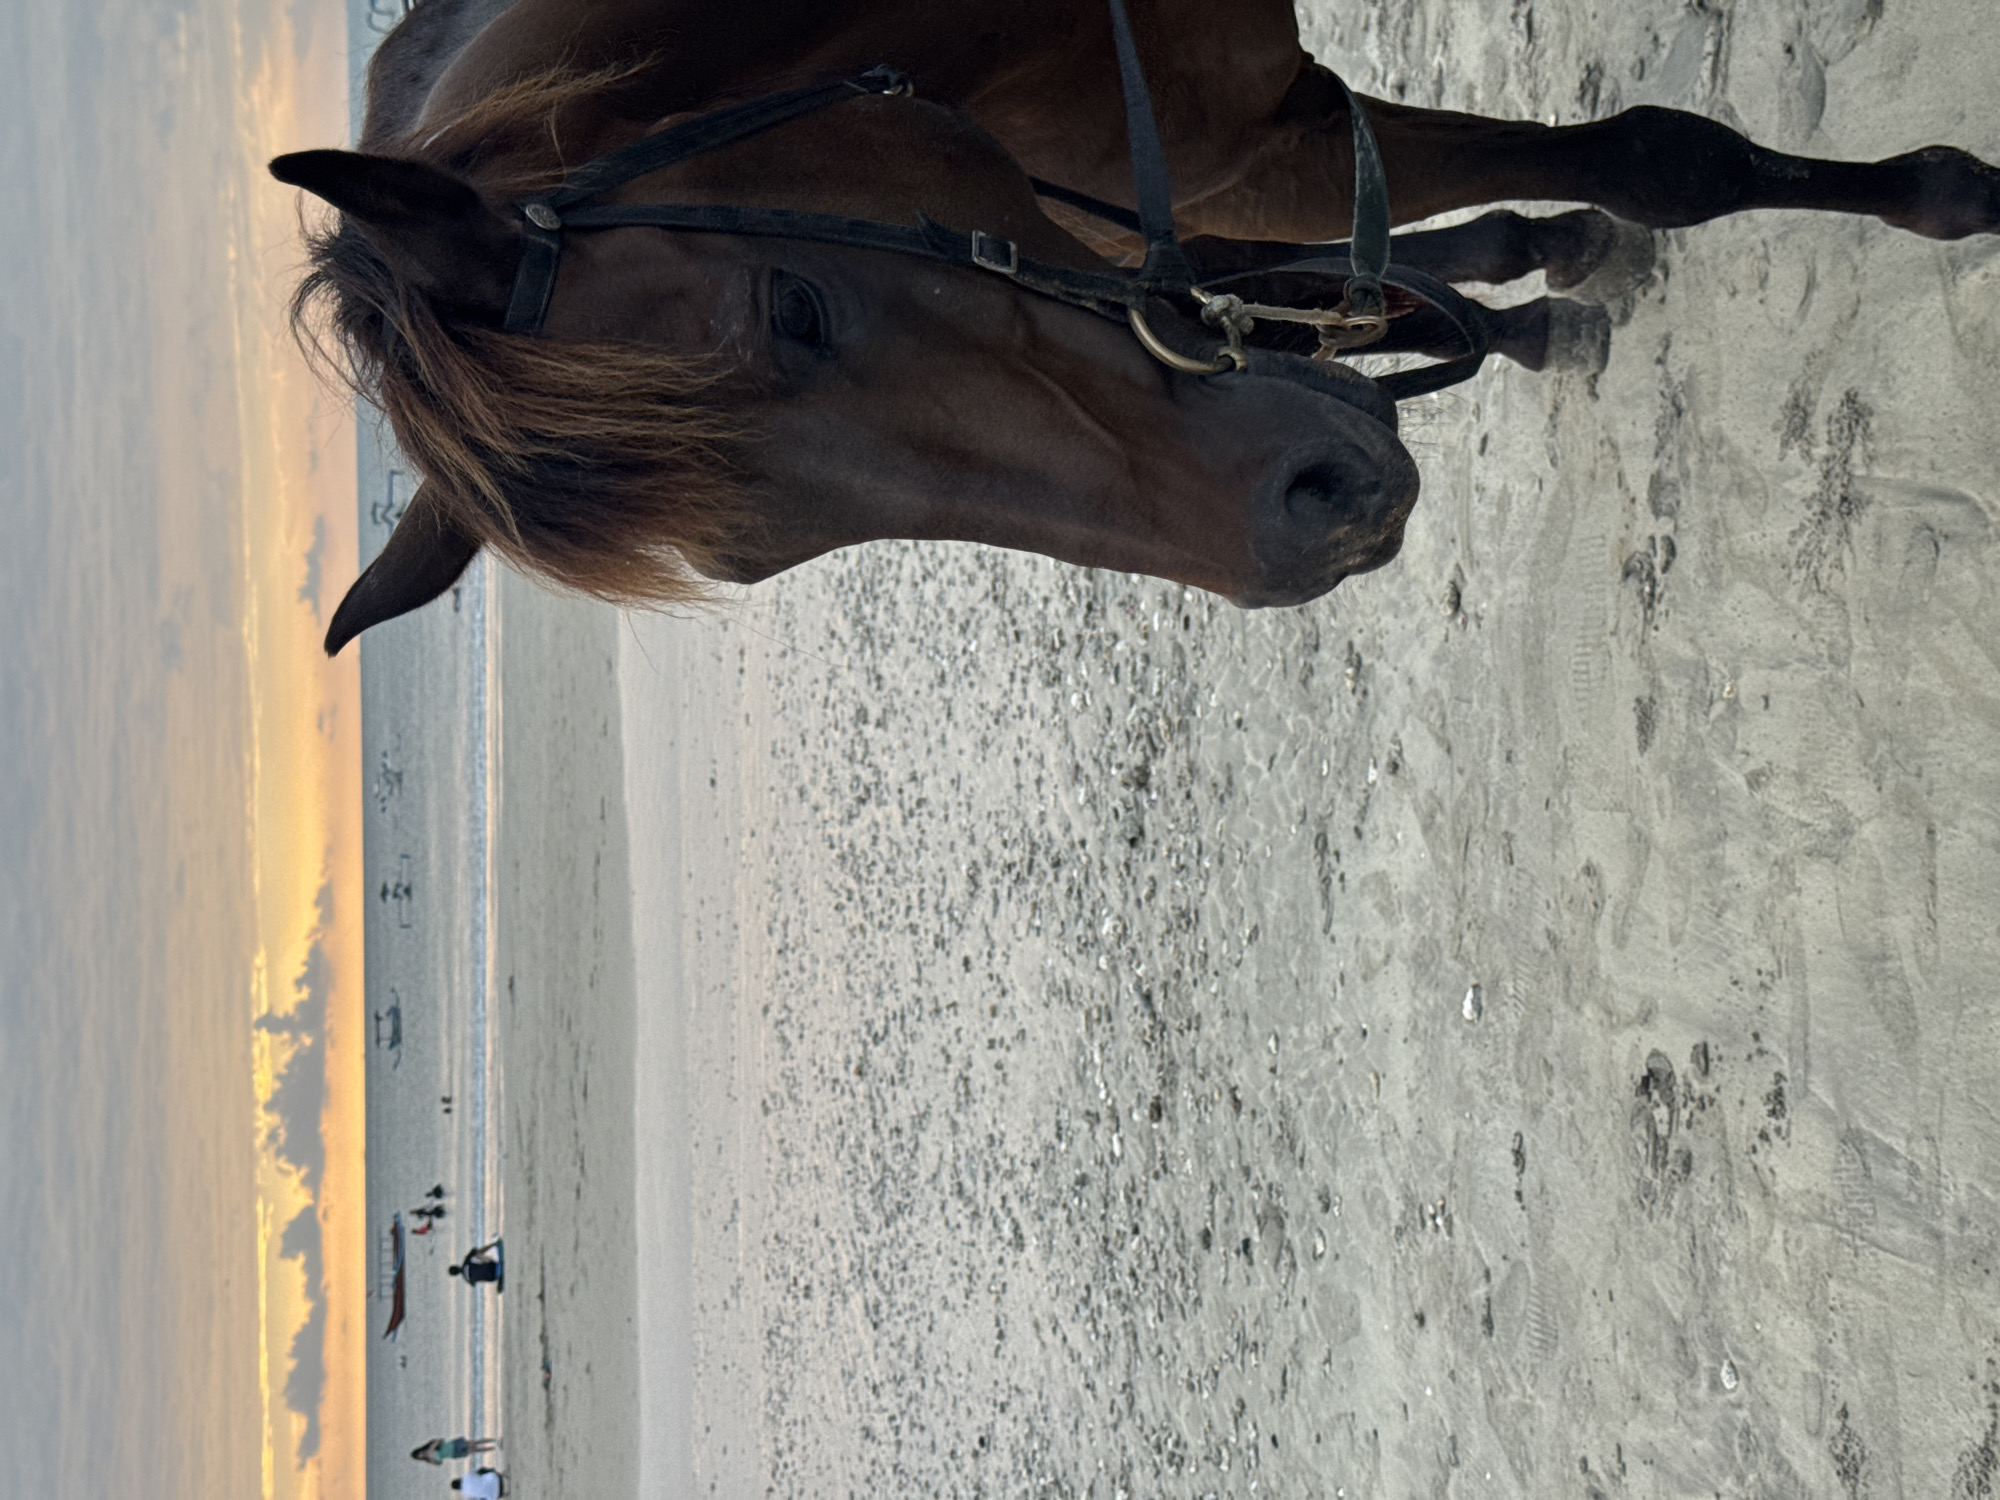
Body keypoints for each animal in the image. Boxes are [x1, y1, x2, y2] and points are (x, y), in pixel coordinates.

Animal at [275, 0, 2000, 655]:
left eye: (798, 306)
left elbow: (1663, 158)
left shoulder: (1245, 123)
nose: (1312, 518)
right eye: (755, 553)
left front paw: (1949, 193)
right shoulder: (1202, 164)